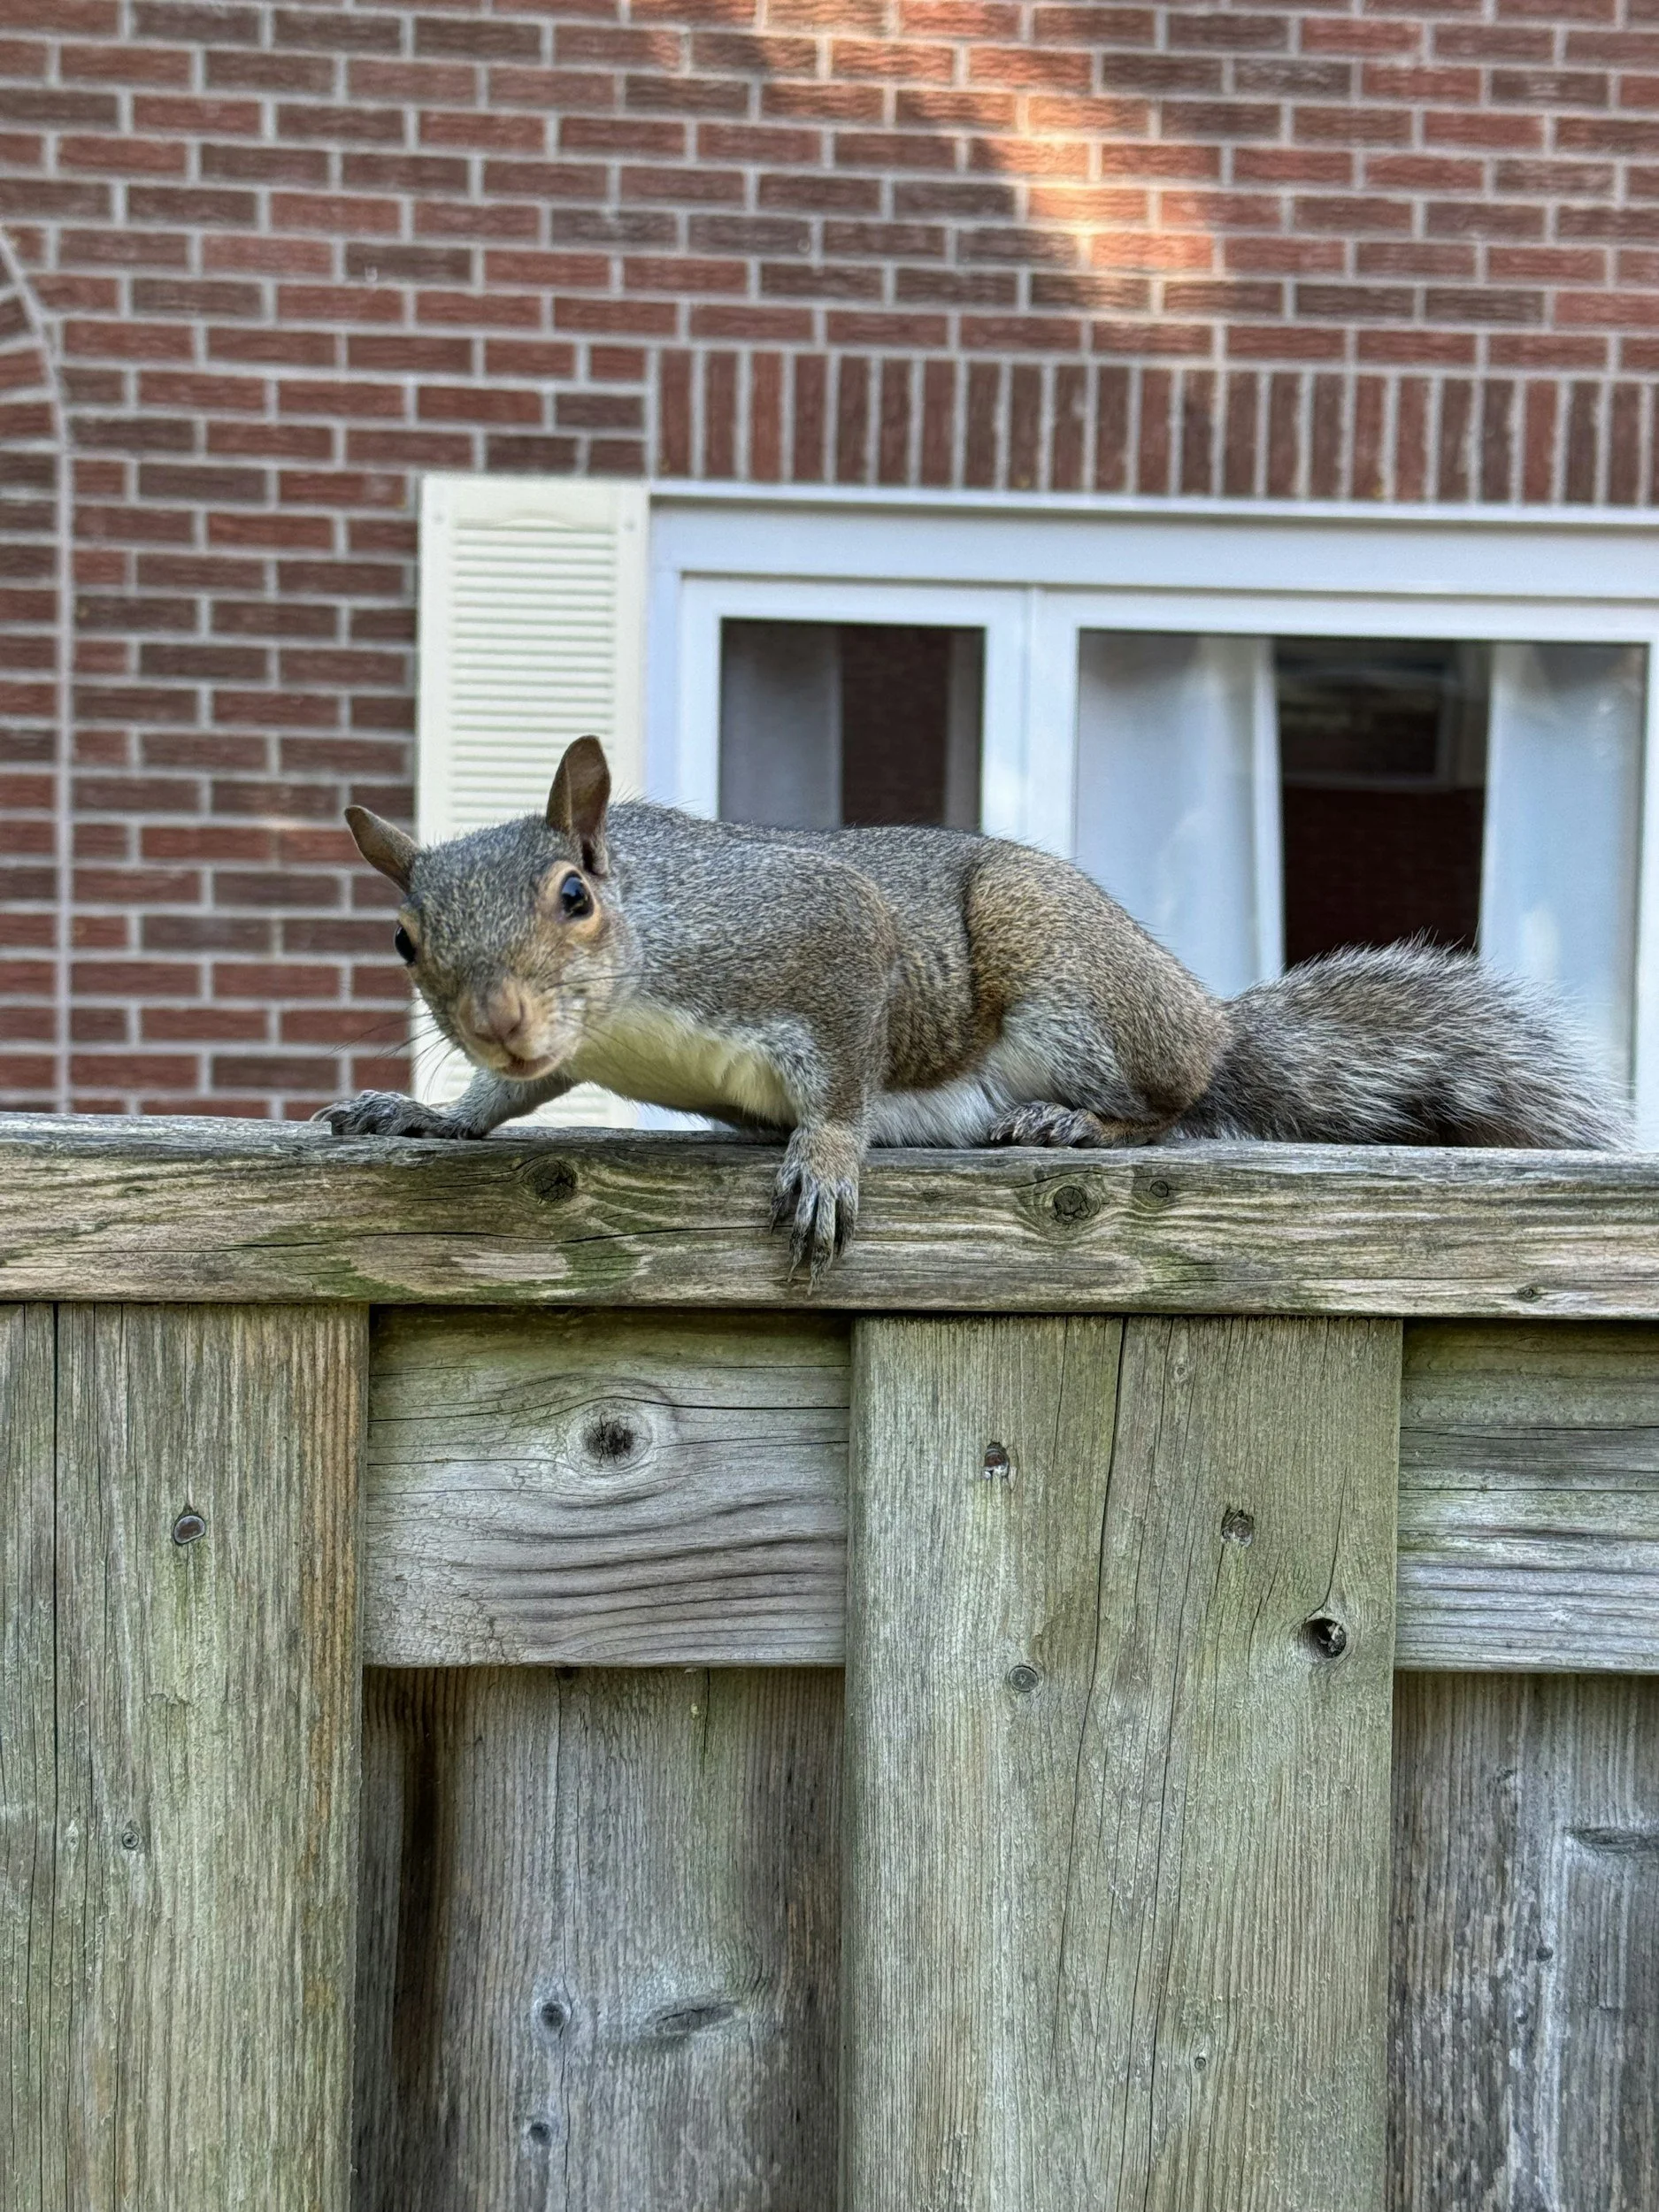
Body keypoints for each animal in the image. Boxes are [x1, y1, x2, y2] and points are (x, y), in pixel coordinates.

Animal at [320, 734, 1625, 1272]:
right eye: (403, 939)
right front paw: (428, 1111)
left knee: (1172, 1105)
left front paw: (827, 1161)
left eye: (574, 894)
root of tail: (1207, 1019)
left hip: (1061, 964)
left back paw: (1074, 1121)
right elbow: (505, 1102)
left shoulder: (823, 935)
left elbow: (846, 1074)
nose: (501, 1020)